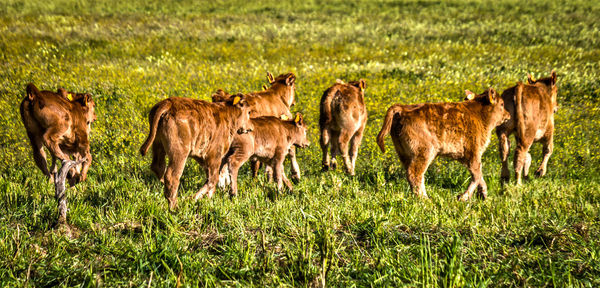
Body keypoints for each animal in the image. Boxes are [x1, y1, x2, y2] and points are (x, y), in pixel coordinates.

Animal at [378, 88, 508, 200]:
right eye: (502, 104)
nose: (508, 115)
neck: (479, 113)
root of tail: (403, 109)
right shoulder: (473, 153)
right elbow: (477, 174)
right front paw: (463, 197)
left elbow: (479, 175)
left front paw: (483, 195)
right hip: (424, 153)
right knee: (415, 173)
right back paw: (425, 199)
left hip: (404, 154)